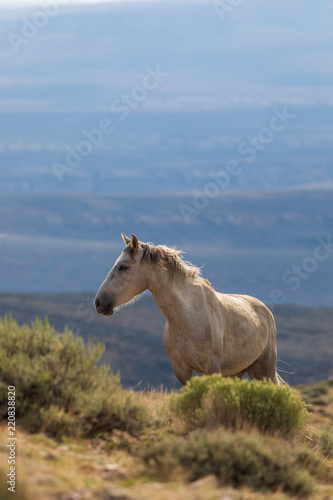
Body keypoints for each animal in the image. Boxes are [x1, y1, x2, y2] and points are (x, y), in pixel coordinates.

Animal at [94, 234, 282, 386]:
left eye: (123, 266)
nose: (99, 302)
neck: (186, 318)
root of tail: (265, 310)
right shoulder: (181, 369)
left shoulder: (212, 368)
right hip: (236, 372)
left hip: (264, 370)